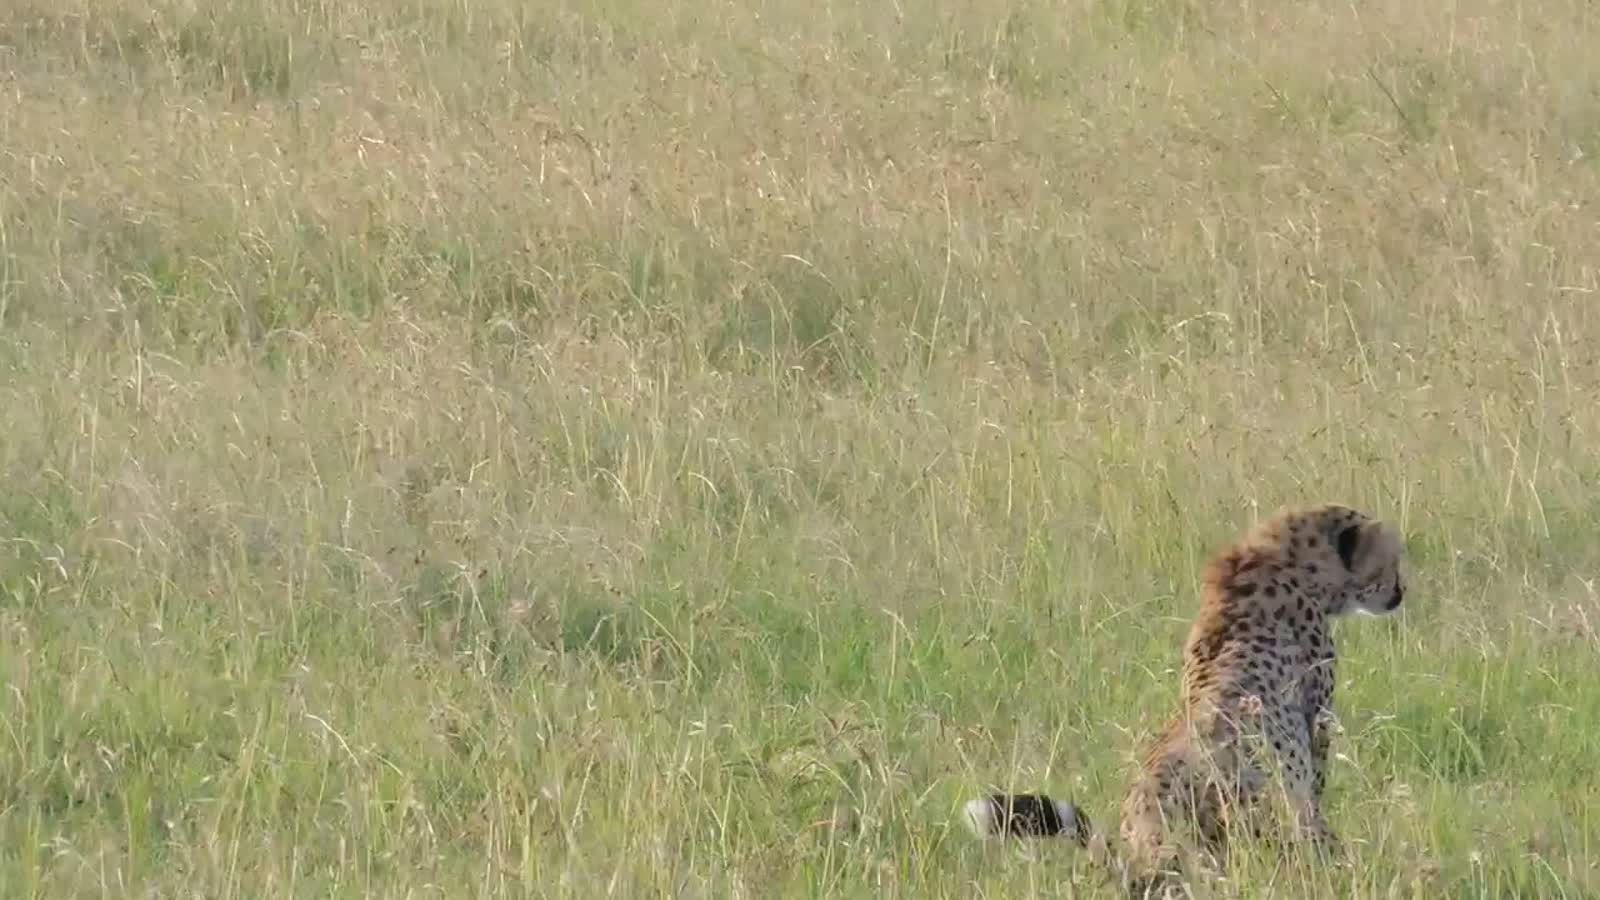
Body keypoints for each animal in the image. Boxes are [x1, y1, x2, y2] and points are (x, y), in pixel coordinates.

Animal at [962, 503, 1407, 898]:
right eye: (1392, 562)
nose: (1401, 592)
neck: (1282, 558)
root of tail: (1142, 843)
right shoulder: (1315, 726)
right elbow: (1316, 790)